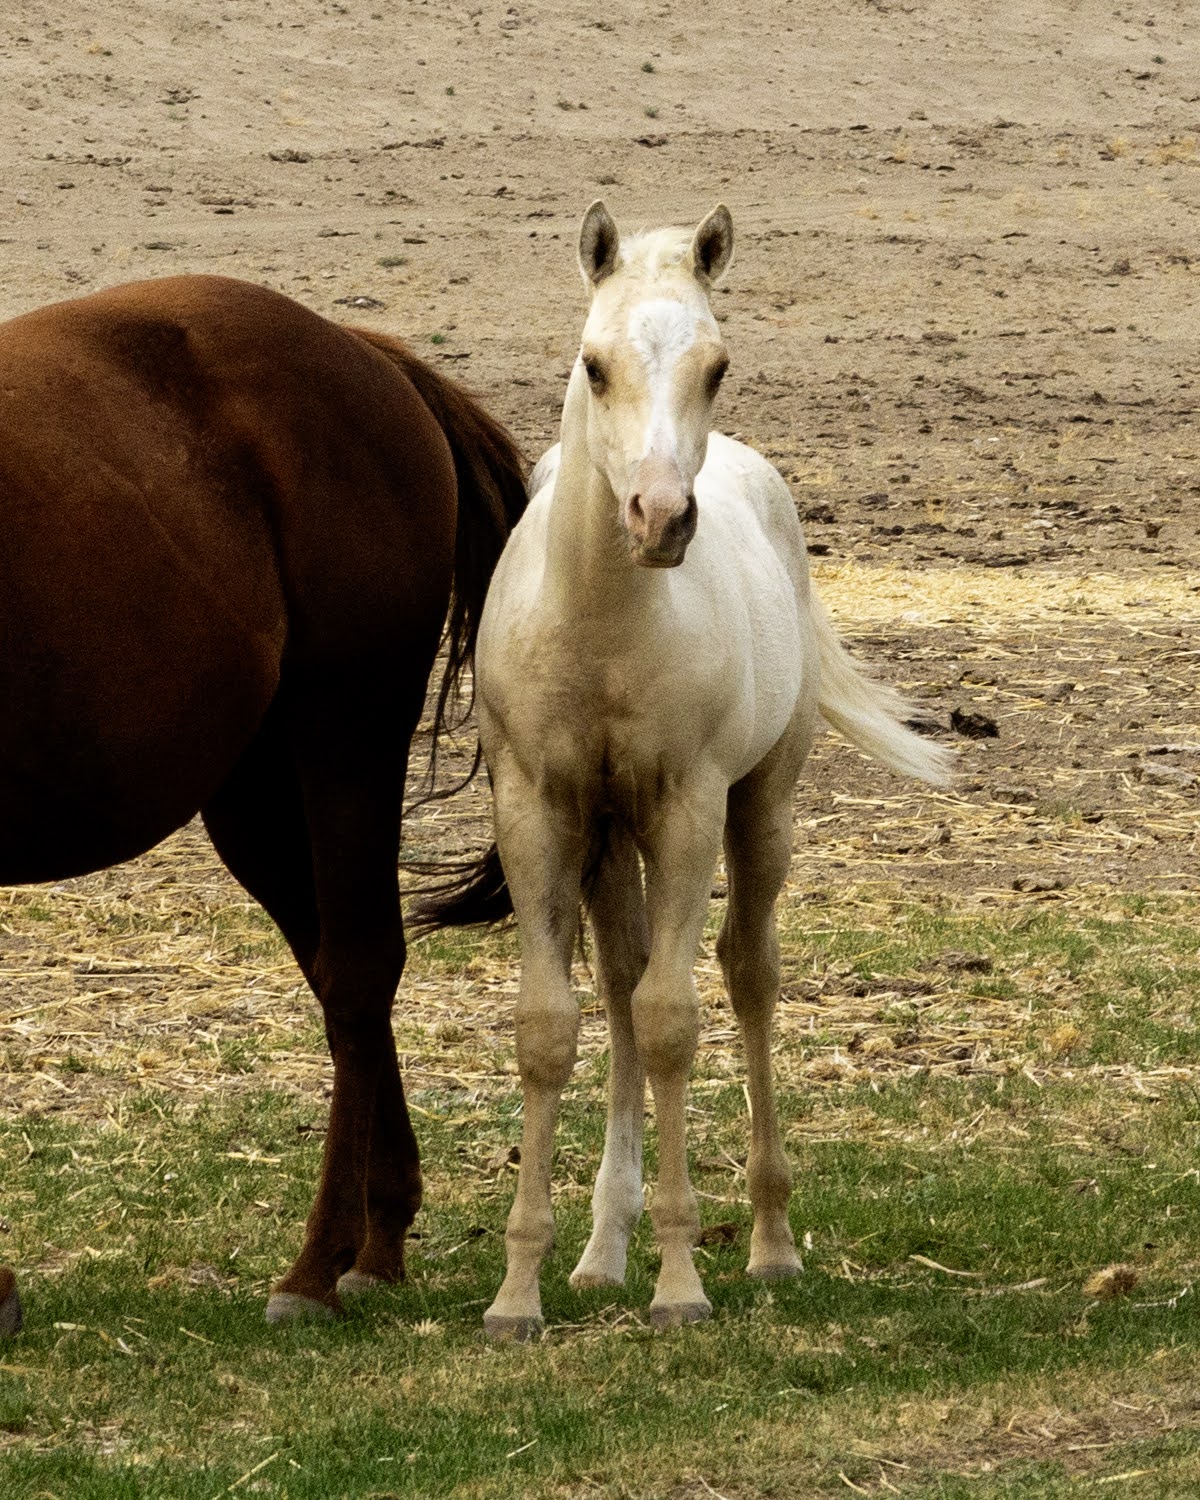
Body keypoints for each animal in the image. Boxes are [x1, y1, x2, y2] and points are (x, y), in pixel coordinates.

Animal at [0, 274, 526, 1330]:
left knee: (361, 970)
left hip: (345, 734)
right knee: (339, 975)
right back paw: (380, 1235)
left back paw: (318, 1267)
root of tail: (362, 352)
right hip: (253, 792)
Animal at [420, 202, 951, 1339]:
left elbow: (673, 1022)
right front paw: (520, 1293)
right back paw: (599, 1253)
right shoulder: (541, 808)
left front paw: (679, 1283)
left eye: (716, 365)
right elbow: (552, 1025)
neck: (602, 621)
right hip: (608, 836)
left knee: (747, 975)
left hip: (761, 810)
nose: (661, 519)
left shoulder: (687, 807)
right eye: (595, 364)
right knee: (619, 982)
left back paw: (768, 1244)